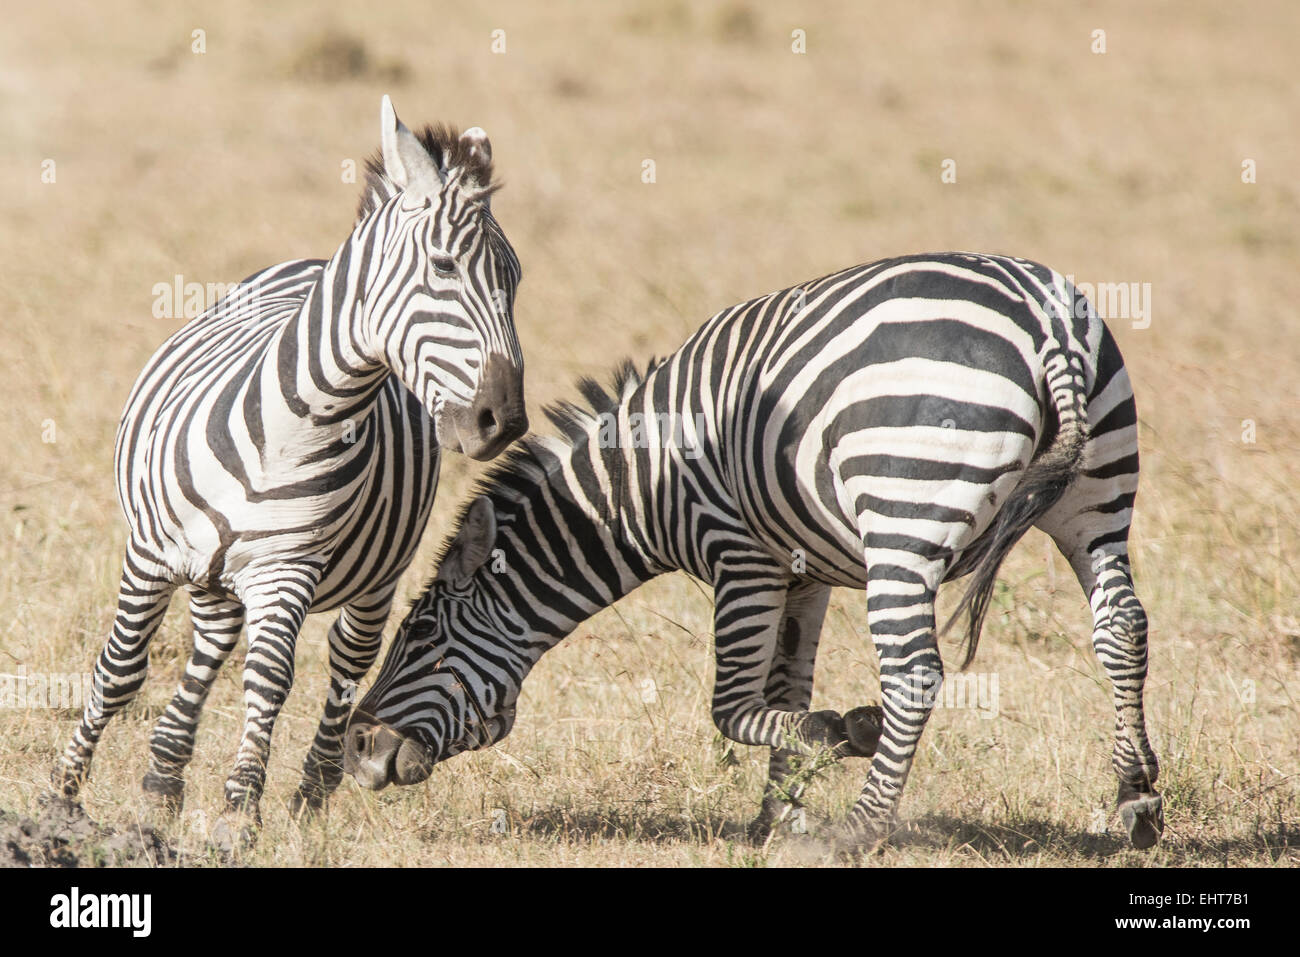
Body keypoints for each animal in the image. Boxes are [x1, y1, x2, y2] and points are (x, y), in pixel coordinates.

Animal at [50, 95, 527, 842]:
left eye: (516, 280)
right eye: (445, 266)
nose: (502, 420)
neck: (293, 427)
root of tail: (306, 260)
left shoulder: (288, 569)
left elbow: (270, 681)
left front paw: (239, 812)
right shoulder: (149, 553)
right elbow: (121, 669)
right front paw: (65, 796)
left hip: (371, 581)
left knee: (344, 661)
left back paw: (309, 787)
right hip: (210, 572)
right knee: (209, 646)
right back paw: (163, 777)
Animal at [340, 250, 1164, 847]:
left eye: (420, 633)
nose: (355, 750)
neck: (638, 485)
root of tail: (1044, 324)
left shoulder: (740, 554)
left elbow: (733, 705)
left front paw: (837, 742)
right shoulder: (805, 570)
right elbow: (785, 687)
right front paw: (777, 813)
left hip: (902, 516)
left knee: (915, 671)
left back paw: (858, 830)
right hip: (1098, 497)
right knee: (1120, 625)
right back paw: (1136, 799)